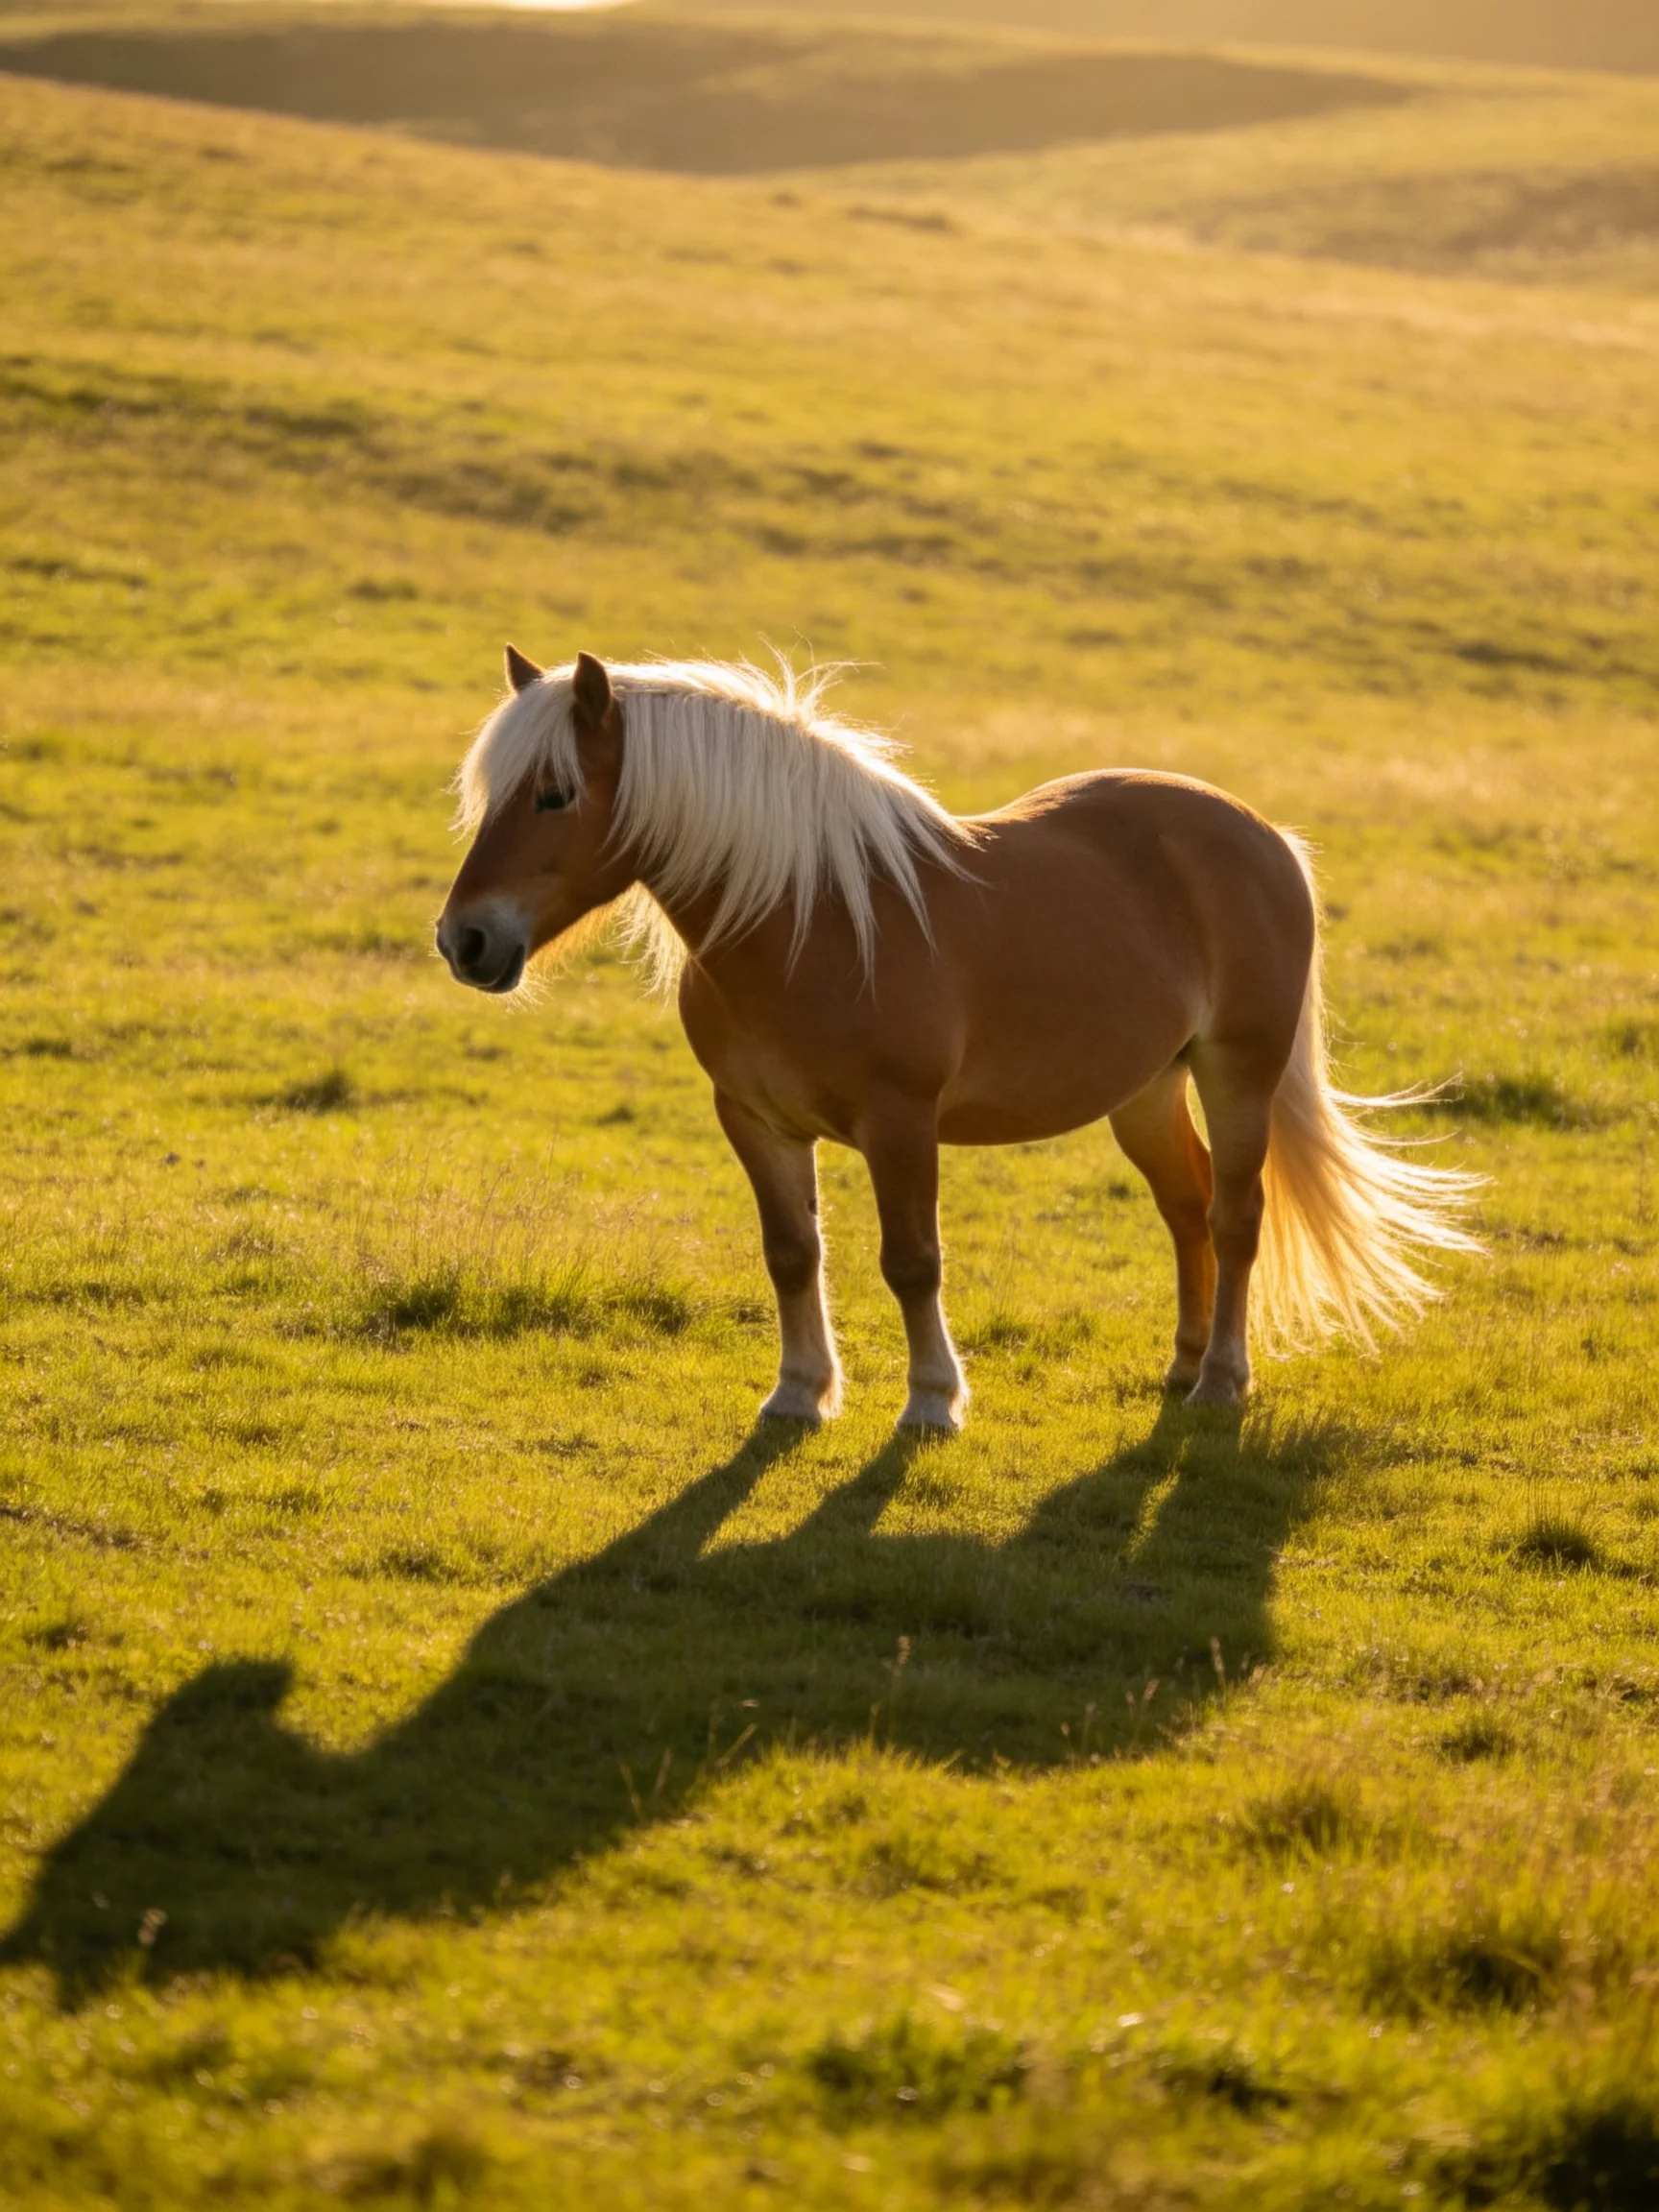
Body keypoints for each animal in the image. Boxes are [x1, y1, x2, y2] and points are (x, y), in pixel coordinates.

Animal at [436, 648, 1477, 1430]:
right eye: (494, 794)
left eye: (556, 794)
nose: (465, 940)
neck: (808, 921)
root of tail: (1265, 836)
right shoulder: (755, 1120)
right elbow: (791, 1252)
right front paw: (798, 1395)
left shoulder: (901, 1124)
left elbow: (911, 1261)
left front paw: (933, 1402)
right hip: (1145, 1089)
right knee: (1186, 1209)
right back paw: (1182, 1370)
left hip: (1238, 1074)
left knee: (1235, 1214)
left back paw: (1222, 1382)